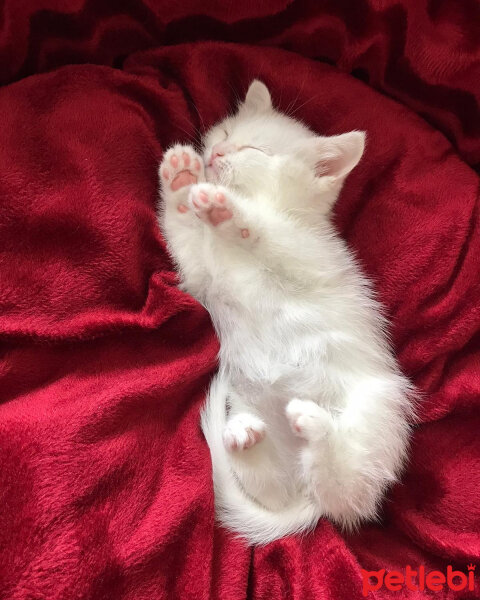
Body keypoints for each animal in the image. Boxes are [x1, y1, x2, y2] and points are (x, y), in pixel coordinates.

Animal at [158, 78, 416, 544]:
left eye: (255, 150)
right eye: (226, 133)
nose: (216, 154)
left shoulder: (307, 254)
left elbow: (270, 233)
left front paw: (227, 209)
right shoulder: (201, 275)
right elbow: (184, 234)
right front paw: (182, 181)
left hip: (377, 411)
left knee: (346, 493)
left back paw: (315, 426)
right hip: (260, 421)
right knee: (276, 490)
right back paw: (243, 437)